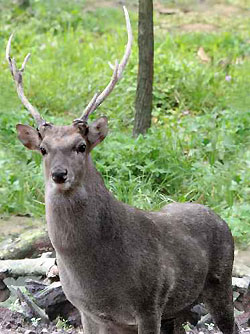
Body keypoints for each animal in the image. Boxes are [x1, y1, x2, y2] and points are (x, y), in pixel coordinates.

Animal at [6, 7, 238, 334]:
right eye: (43, 149)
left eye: (81, 146)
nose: (59, 175)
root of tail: (220, 218)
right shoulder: (88, 310)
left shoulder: (149, 300)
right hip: (179, 307)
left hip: (220, 281)